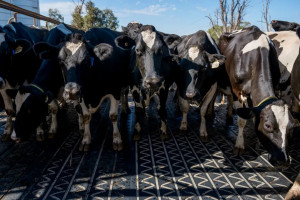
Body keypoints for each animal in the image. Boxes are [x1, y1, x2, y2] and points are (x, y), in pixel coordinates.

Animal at [218, 26, 300, 167]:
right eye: (268, 126)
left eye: (293, 127)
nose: (283, 161)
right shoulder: (237, 91)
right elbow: (241, 120)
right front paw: (239, 145)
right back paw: (228, 118)